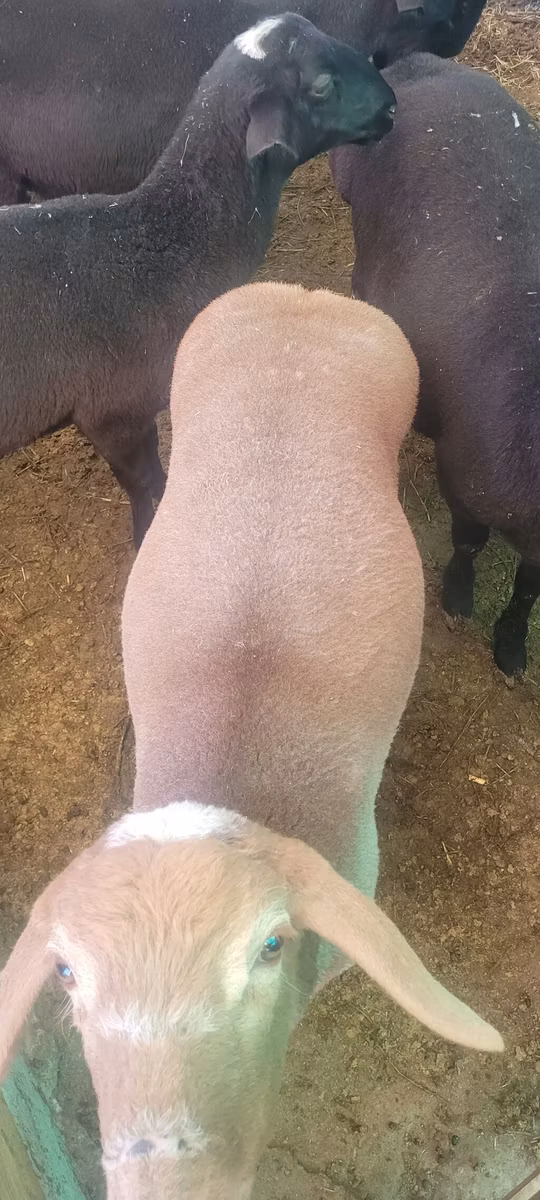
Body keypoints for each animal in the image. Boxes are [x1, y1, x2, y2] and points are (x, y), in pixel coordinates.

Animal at [330, 53, 540, 679]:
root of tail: (420, 64)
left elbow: (529, 587)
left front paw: (512, 648)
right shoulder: (464, 476)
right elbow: (469, 541)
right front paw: (456, 600)